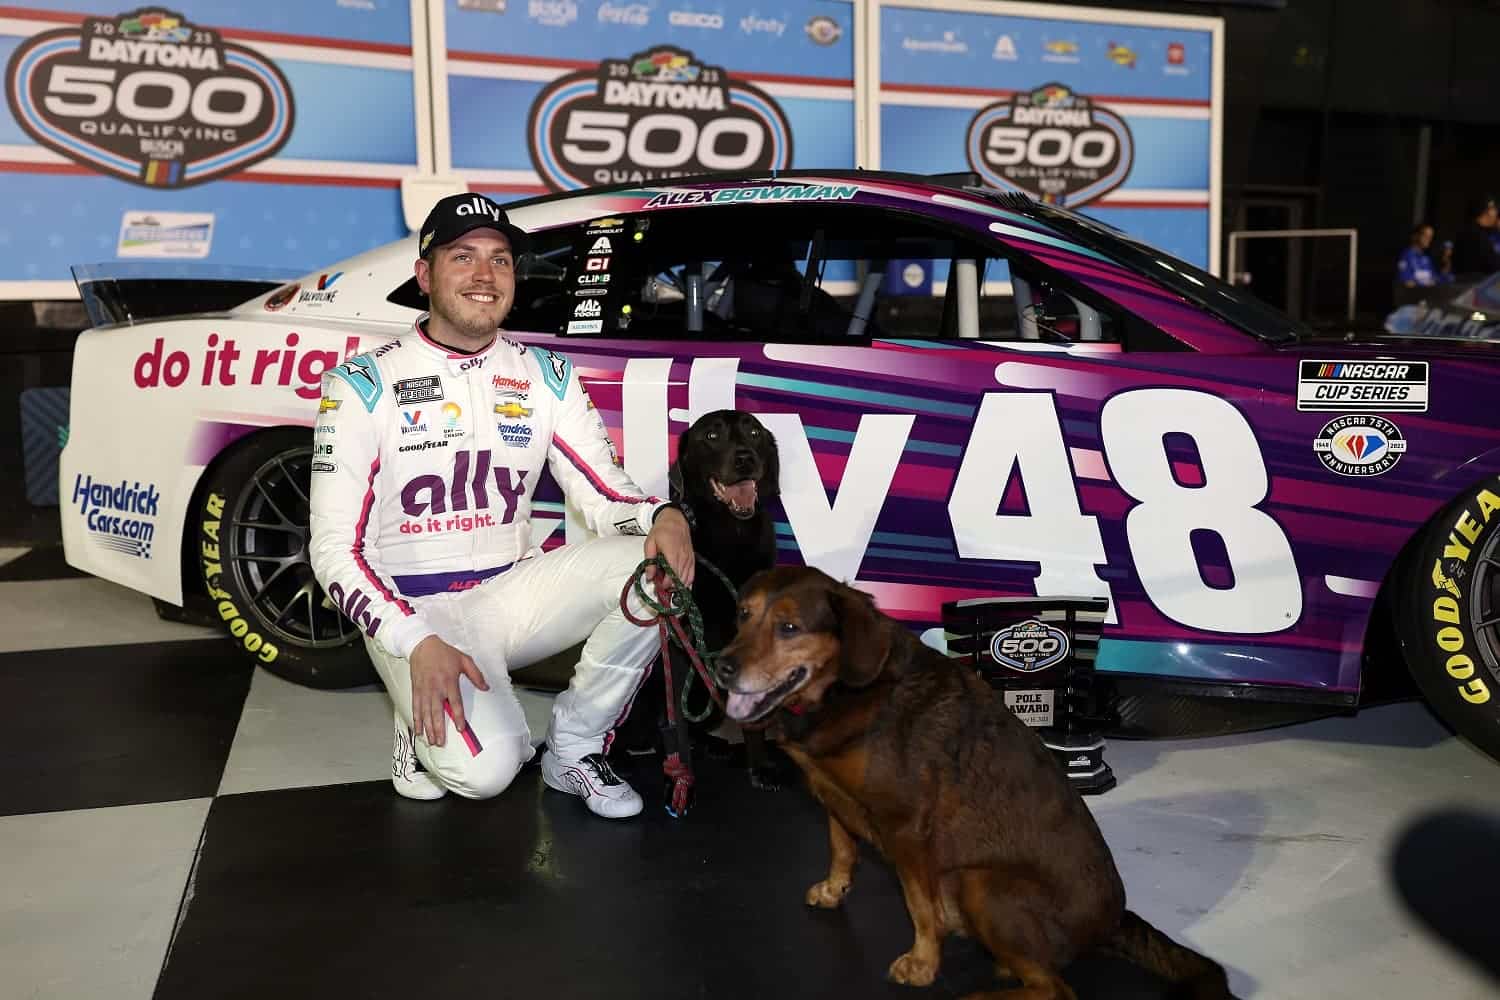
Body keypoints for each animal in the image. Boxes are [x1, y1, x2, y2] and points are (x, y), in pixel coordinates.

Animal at [720, 566, 1236, 995]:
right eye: (743, 615)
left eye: (789, 627)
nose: (722, 666)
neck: (846, 692)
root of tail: (1114, 922)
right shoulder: (831, 793)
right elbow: (841, 847)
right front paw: (833, 889)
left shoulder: (907, 827)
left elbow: (918, 906)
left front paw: (923, 965)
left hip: (980, 881)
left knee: (1054, 989)